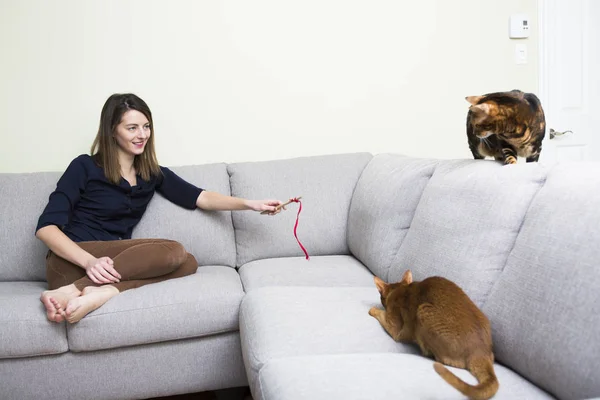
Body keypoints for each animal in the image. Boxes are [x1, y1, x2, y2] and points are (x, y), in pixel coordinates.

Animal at [368, 270, 500, 398]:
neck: (399, 289)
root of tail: (481, 353)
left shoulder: (396, 329)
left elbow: (381, 315)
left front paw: (372, 309)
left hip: (423, 311)